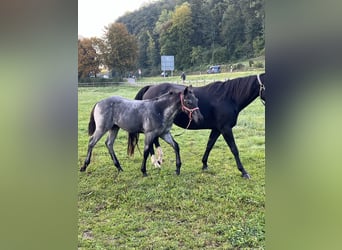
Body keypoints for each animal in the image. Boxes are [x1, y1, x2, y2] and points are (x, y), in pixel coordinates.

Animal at [135, 73, 266, 179]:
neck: (229, 97)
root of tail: (150, 87)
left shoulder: (217, 129)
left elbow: (209, 145)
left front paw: (204, 164)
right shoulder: (226, 129)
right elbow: (234, 149)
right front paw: (243, 172)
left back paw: (158, 160)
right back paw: (155, 162)